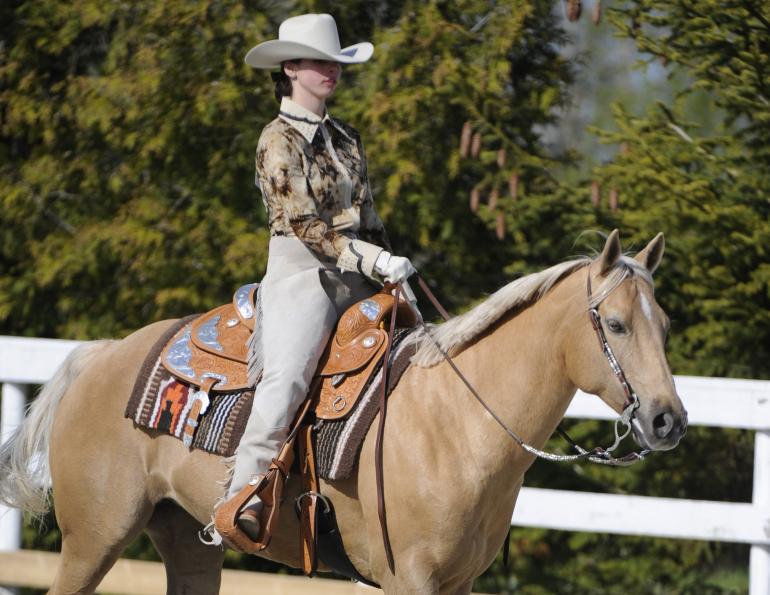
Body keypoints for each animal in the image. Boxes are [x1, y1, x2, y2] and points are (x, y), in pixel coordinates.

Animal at [0, 230, 687, 594]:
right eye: (616, 325)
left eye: (665, 323)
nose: (667, 421)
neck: (457, 426)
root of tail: (99, 355)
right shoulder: (410, 581)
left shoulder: (459, 583)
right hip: (95, 537)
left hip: (186, 541)